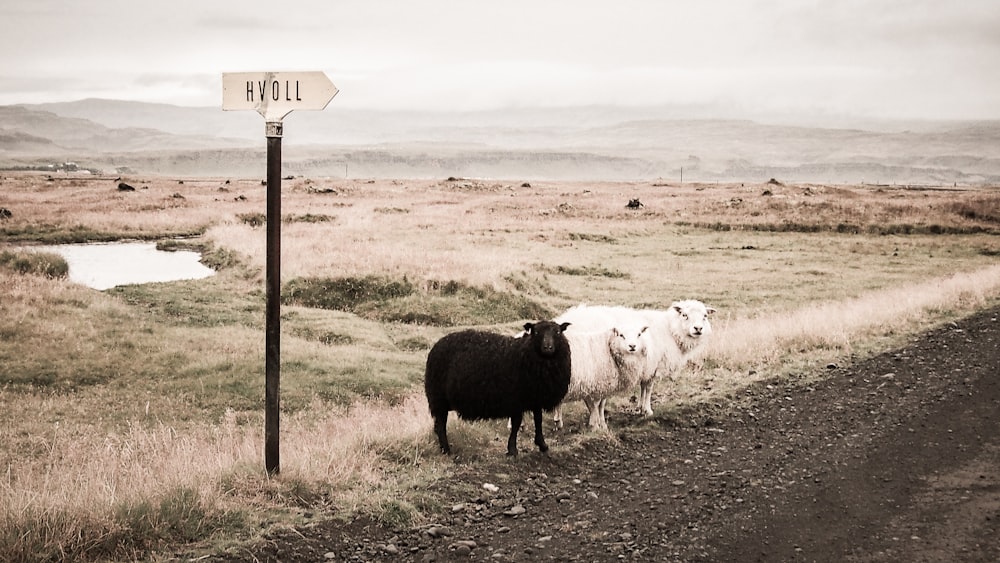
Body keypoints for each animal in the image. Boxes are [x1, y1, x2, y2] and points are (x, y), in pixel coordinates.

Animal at [426, 320, 576, 456]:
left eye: (557, 332)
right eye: (536, 332)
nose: (547, 347)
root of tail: (436, 346)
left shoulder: (535, 397)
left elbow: (538, 420)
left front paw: (542, 444)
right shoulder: (516, 399)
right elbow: (516, 424)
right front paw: (512, 449)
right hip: (438, 398)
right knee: (440, 426)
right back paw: (446, 450)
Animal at [560, 302, 716, 416]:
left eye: (705, 316)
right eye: (685, 315)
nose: (698, 328)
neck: (669, 330)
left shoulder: (646, 366)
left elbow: (642, 386)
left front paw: (640, 407)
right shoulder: (653, 365)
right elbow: (648, 387)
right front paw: (647, 409)